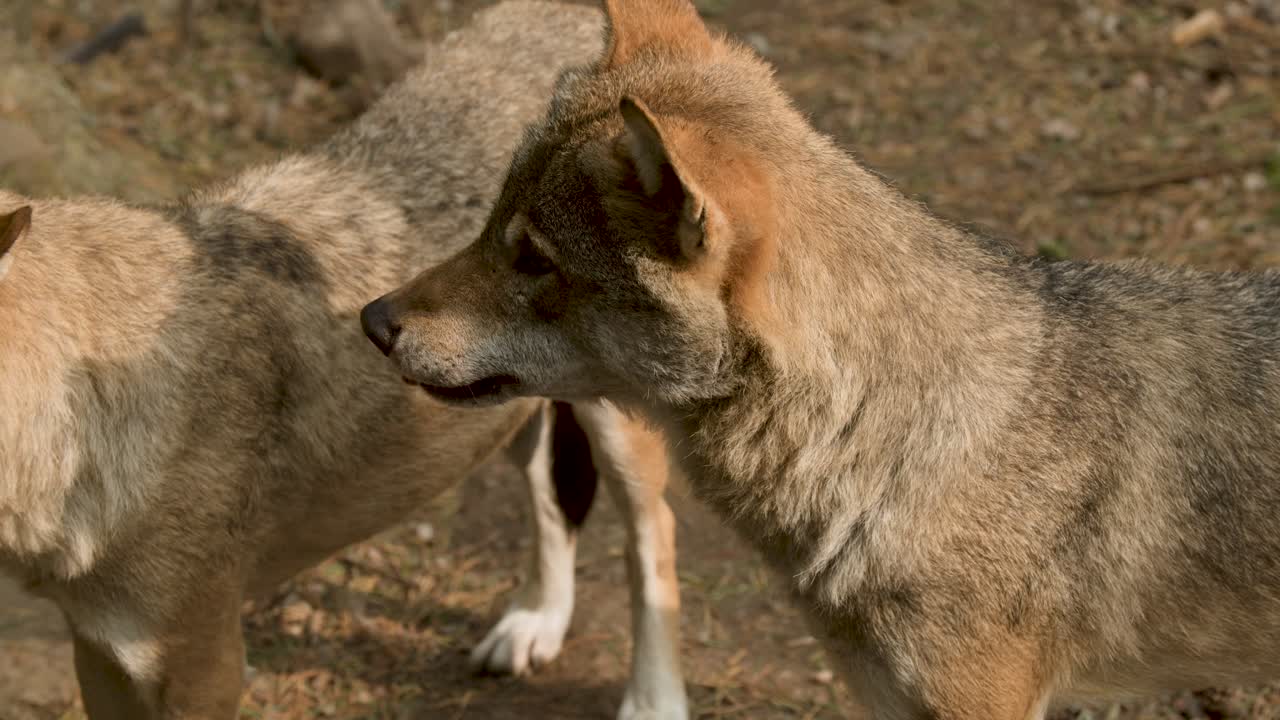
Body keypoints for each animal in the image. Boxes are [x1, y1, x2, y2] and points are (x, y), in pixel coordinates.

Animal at [0, 3, 686, 719]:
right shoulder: (97, 646)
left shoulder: (203, 660)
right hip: (496, 406)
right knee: (550, 494)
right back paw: (534, 623)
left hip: (618, 428)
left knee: (653, 537)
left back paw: (653, 700)